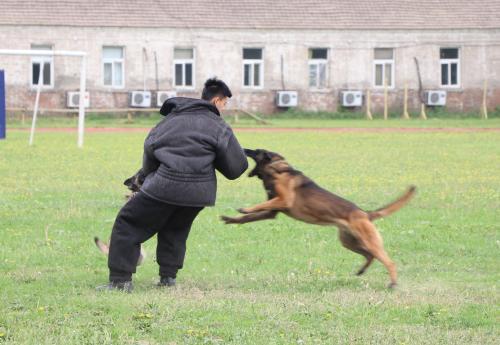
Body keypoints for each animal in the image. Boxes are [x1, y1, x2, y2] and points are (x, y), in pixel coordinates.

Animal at [221, 148, 416, 288]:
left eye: (255, 151)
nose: (244, 148)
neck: (280, 170)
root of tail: (365, 213)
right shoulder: (272, 211)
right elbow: (252, 215)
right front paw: (232, 218)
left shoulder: (283, 200)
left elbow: (259, 205)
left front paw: (245, 208)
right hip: (349, 242)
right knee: (369, 256)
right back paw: (361, 270)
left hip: (369, 240)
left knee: (388, 261)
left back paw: (393, 283)